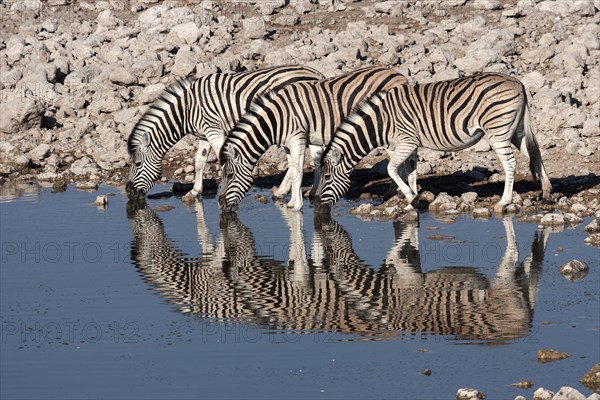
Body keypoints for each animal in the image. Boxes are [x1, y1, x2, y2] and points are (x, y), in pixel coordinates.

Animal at [124, 66, 326, 203]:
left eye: (137, 163)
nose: (128, 192)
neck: (186, 109)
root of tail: (317, 74)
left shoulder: (214, 130)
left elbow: (222, 160)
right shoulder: (204, 134)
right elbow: (199, 162)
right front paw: (194, 192)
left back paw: (301, 191)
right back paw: (295, 191)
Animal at [217, 65, 408, 212]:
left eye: (230, 174)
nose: (220, 204)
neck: (277, 119)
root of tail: (399, 75)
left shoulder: (298, 139)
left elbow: (298, 172)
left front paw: (296, 205)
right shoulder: (288, 145)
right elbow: (293, 169)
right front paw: (292, 202)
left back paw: (393, 193)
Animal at [314, 73, 552, 214]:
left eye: (327, 178)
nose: (316, 206)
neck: (381, 122)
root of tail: (518, 82)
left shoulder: (406, 141)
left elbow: (392, 169)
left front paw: (412, 197)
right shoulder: (411, 145)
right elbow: (409, 171)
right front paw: (412, 201)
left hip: (498, 131)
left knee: (511, 163)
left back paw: (504, 202)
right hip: (516, 131)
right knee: (536, 154)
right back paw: (547, 192)